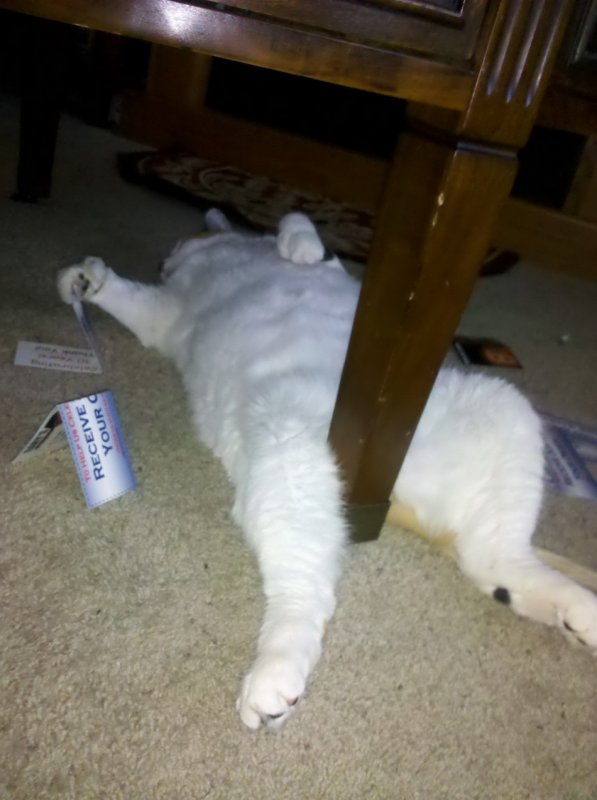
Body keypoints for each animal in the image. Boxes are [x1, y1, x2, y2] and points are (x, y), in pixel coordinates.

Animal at [57, 210, 597, 730]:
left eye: (179, 243)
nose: (166, 259)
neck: (228, 252)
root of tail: (393, 484)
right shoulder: (164, 315)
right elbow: (131, 298)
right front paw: (81, 281)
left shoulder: (320, 265)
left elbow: (299, 223)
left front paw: (294, 246)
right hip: (289, 460)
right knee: (309, 596)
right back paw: (274, 676)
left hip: (502, 415)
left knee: (499, 557)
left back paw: (580, 611)